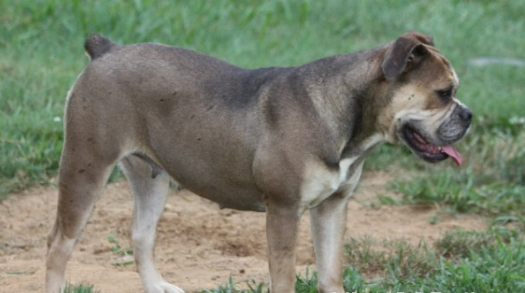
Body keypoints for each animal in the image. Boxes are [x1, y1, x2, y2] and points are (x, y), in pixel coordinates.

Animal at [45, 30, 470, 290]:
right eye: (443, 93)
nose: (468, 116)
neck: (348, 117)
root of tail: (107, 50)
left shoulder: (332, 208)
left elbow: (330, 273)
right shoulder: (283, 210)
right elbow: (283, 277)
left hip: (152, 178)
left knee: (141, 235)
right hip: (86, 166)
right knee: (59, 243)